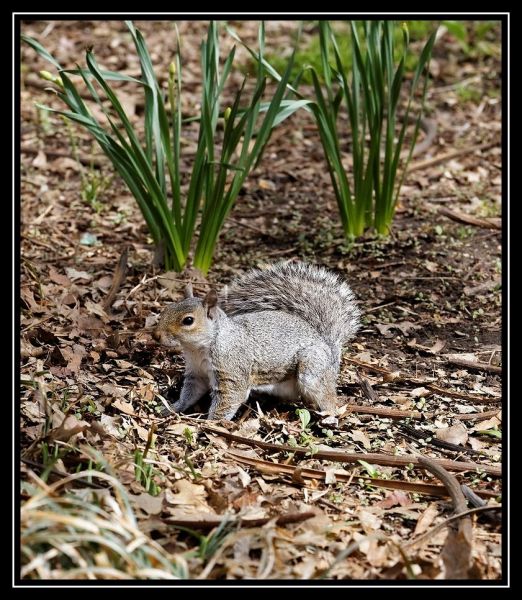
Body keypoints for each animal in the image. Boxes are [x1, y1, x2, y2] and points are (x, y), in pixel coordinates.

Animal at [152, 262, 360, 422]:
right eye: (167, 309)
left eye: (188, 320)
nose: (156, 335)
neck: (198, 349)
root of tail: (329, 348)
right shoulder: (196, 373)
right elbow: (190, 393)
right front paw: (171, 408)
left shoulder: (231, 369)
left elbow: (230, 398)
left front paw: (210, 424)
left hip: (312, 368)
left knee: (327, 397)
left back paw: (330, 417)